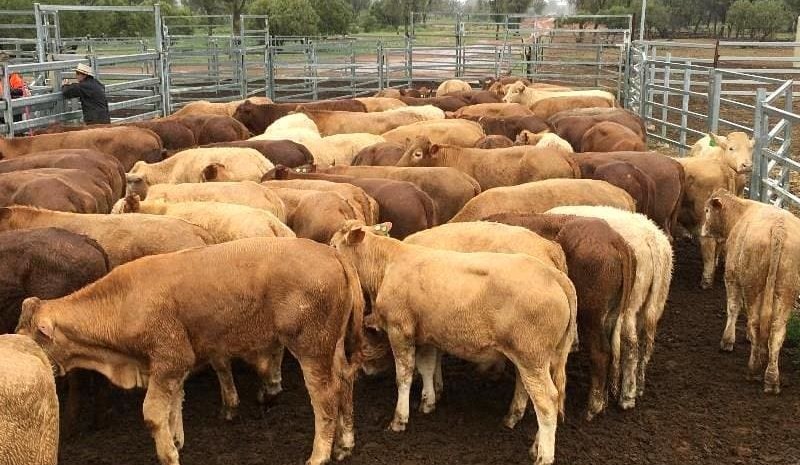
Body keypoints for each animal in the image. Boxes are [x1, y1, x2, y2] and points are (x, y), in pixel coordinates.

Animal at [16, 237, 365, 465]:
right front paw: (177, 439)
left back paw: (319, 455)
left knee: (325, 398)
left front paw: (168, 453)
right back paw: (344, 445)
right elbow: (174, 404)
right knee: (345, 383)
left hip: (311, 349)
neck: (123, 300)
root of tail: (331, 254)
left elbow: (154, 413)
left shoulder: (170, 359)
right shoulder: (169, 366)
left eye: (32, 340)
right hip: (332, 348)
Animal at [331, 220, 576, 465]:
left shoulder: (399, 330)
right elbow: (427, 367)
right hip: (540, 358)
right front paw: (428, 402)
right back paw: (525, 433)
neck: (388, 262)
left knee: (547, 402)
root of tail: (553, 274)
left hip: (531, 359)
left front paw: (399, 420)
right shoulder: (427, 334)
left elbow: (404, 376)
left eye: (333, 245)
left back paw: (544, 455)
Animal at [701, 189, 800, 394]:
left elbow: (733, 308)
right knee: (777, 332)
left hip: (754, 286)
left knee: (756, 323)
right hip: (786, 291)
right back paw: (771, 378)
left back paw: (754, 370)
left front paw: (728, 341)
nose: (703, 229)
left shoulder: (732, 276)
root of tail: (779, 228)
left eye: (707, 210)